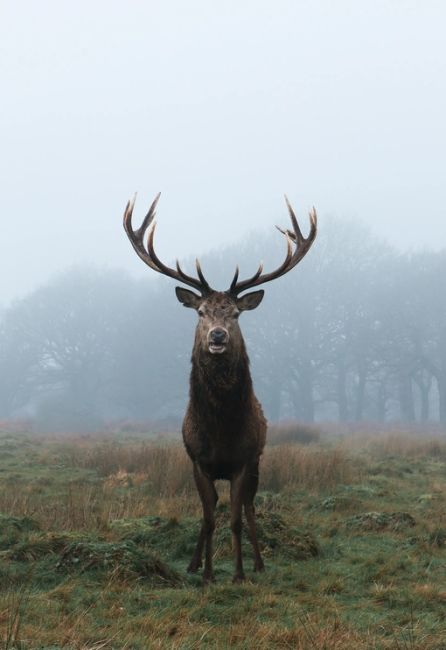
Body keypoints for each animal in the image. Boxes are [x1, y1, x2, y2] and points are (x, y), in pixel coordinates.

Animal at [123, 194, 318, 584]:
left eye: (235, 314)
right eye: (200, 312)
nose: (217, 336)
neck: (221, 431)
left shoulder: (244, 460)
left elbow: (236, 519)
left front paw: (239, 573)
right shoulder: (198, 461)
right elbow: (210, 517)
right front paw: (208, 574)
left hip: (258, 462)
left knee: (250, 508)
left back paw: (258, 563)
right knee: (210, 509)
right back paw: (194, 563)